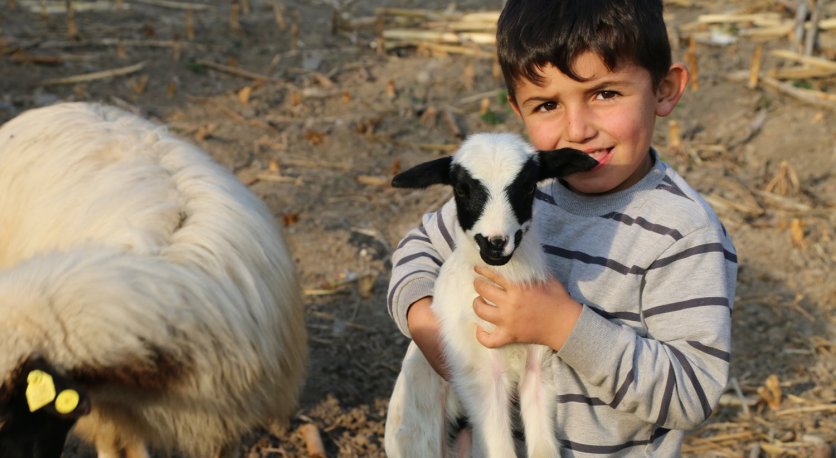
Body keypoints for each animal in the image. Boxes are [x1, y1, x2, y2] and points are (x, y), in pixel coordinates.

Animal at [382, 133, 596, 458]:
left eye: (529, 186)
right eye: (461, 189)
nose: (495, 244)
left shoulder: (538, 368)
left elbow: (543, 447)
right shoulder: (480, 373)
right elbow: (500, 449)